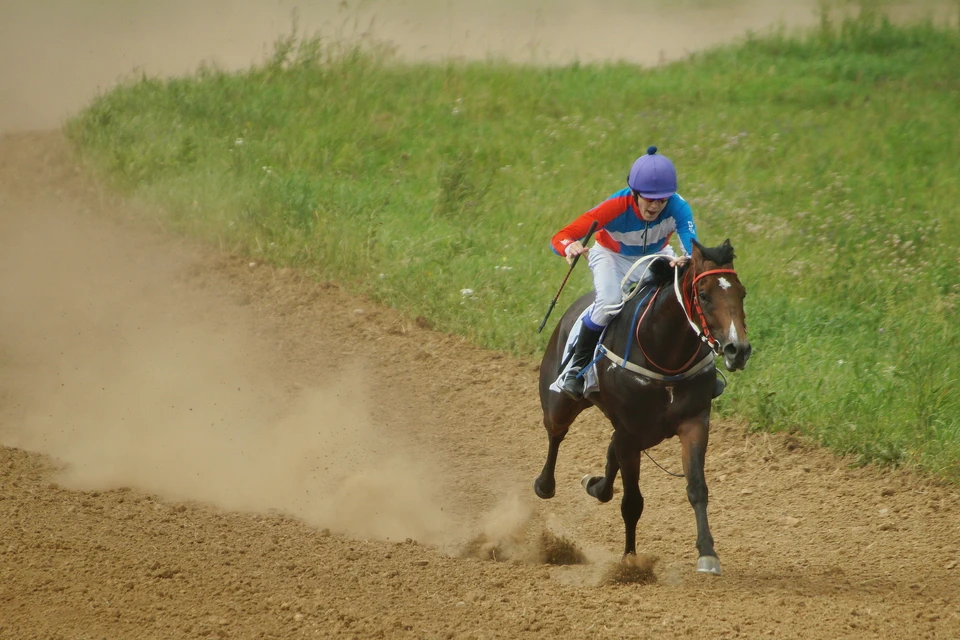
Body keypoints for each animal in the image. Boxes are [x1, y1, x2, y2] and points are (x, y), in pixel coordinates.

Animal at [532, 239, 752, 576]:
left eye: (742, 292)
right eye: (703, 295)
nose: (737, 349)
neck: (664, 354)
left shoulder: (694, 422)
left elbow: (697, 488)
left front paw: (708, 554)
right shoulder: (630, 432)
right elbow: (632, 502)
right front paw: (631, 563)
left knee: (608, 456)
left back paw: (594, 485)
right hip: (561, 403)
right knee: (556, 433)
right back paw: (545, 485)